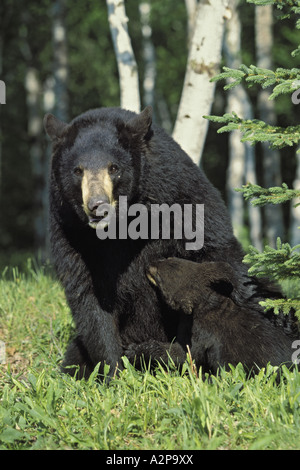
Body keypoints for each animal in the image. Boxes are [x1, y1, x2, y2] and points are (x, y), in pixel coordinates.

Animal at [44, 105, 272, 378]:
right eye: (78, 171)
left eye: (114, 168)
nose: (97, 206)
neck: (125, 225)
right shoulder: (70, 235)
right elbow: (89, 300)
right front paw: (115, 373)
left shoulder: (182, 200)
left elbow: (213, 258)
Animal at [137, 258, 298, 374]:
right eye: (167, 259)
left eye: (158, 275)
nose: (147, 264)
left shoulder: (201, 333)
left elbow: (186, 354)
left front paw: (141, 349)